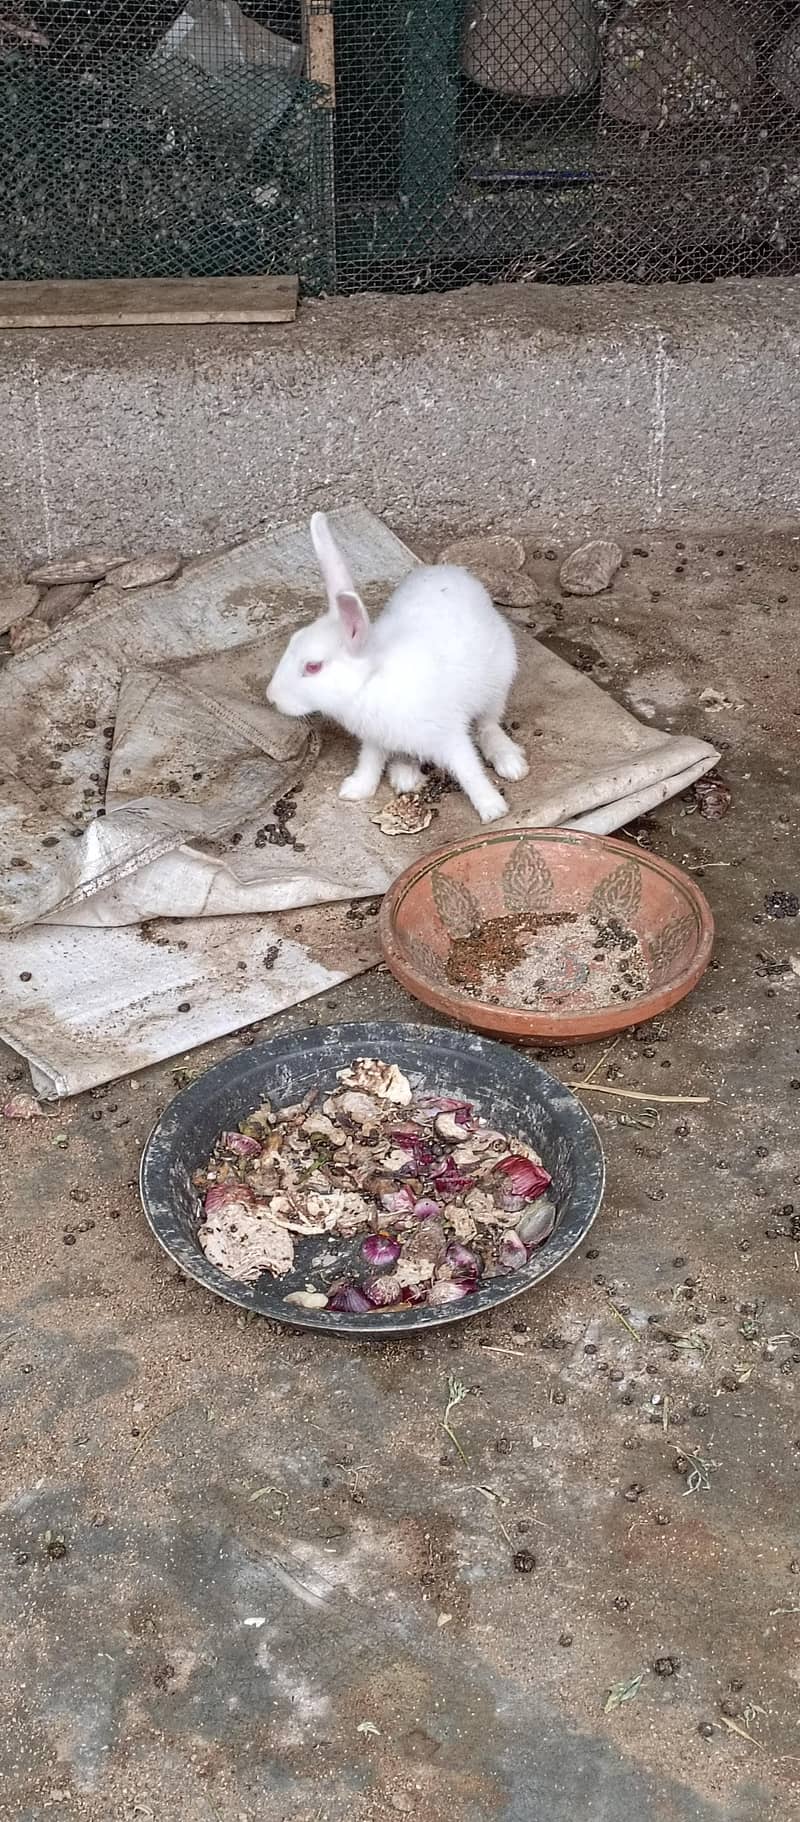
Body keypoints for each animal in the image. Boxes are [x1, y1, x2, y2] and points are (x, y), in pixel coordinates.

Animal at [266, 512, 528, 822]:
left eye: (313, 666)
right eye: (292, 641)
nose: (272, 697)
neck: (369, 682)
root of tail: (452, 572)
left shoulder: (449, 735)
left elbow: (468, 769)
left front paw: (492, 809)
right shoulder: (374, 739)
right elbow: (369, 763)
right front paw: (355, 790)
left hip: (499, 682)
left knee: (488, 725)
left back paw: (510, 762)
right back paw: (405, 775)